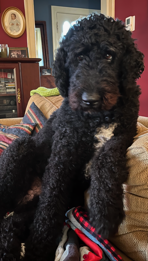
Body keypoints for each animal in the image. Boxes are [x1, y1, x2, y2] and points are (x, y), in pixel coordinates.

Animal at [0, 13, 144, 260]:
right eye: (79, 57)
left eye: (109, 55)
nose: (90, 99)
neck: (96, 118)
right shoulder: (63, 154)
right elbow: (51, 202)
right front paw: (39, 246)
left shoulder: (122, 136)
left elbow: (107, 159)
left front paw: (104, 211)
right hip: (20, 149)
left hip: (30, 207)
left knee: (10, 225)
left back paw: (9, 249)